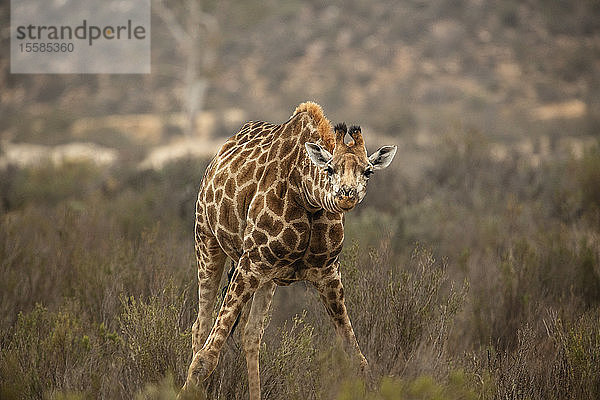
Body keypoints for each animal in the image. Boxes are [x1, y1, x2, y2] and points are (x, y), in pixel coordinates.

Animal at [183, 101, 398, 398]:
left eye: (368, 171)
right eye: (329, 168)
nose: (346, 195)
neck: (307, 197)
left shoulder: (327, 273)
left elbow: (357, 357)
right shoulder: (250, 263)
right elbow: (206, 358)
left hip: (267, 277)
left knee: (251, 333)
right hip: (207, 241)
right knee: (200, 327)